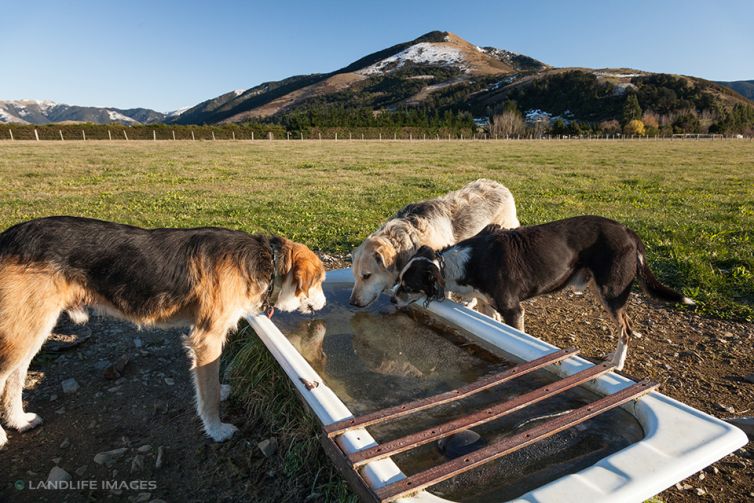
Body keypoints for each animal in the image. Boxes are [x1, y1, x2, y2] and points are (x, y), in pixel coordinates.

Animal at [0, 217, 324, 448]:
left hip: (33, 328)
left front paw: (219, 391)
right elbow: (207, 395)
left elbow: (210, 381)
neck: (268, 261)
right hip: (22, 332)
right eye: (320, 281)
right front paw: (216, 429)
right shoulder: (206, 340)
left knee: (16, 377)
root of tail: (8, 237)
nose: (325, 302)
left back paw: (19, 420)